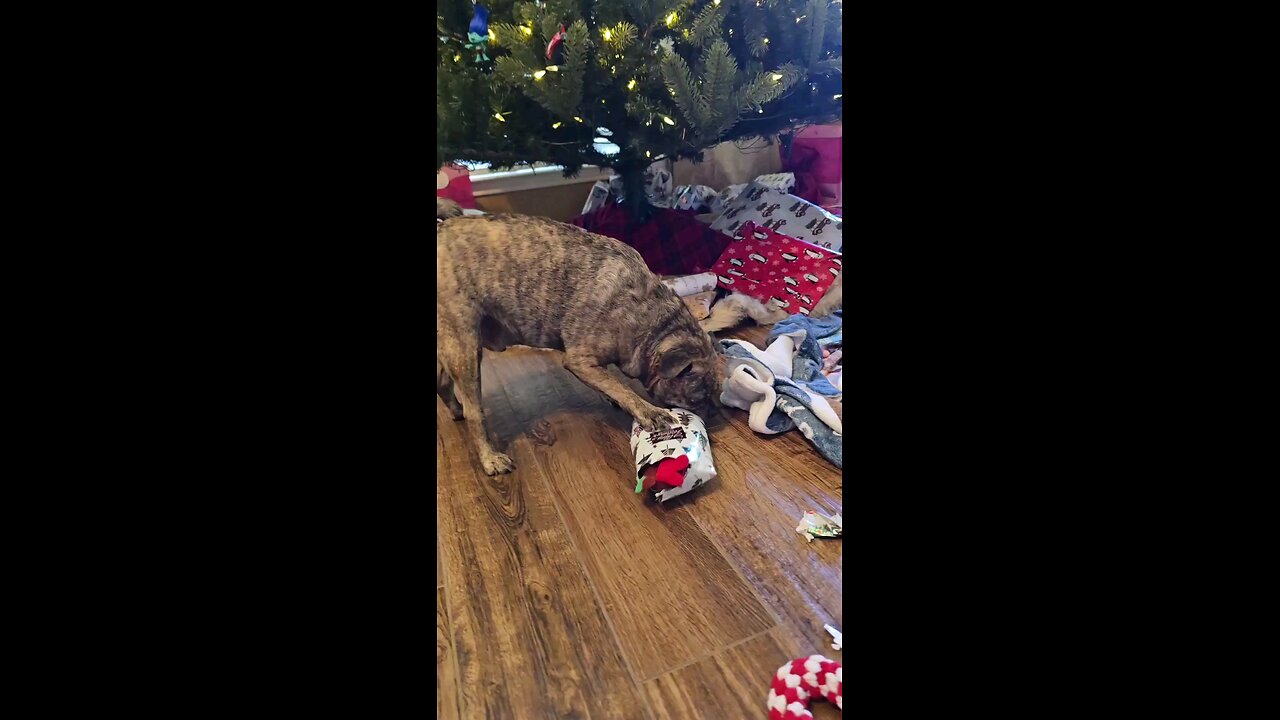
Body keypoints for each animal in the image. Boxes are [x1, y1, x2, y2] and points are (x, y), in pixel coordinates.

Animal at [440, 198, 721, 474]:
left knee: (443, 385)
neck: (654, 322)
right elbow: (622, 388)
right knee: (474, 412)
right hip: (465, 348)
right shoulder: (581, 360)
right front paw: (648, 411)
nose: (712, 418)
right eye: (695, 401)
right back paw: (490, 458)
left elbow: (610, 382)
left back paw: (455, 410)